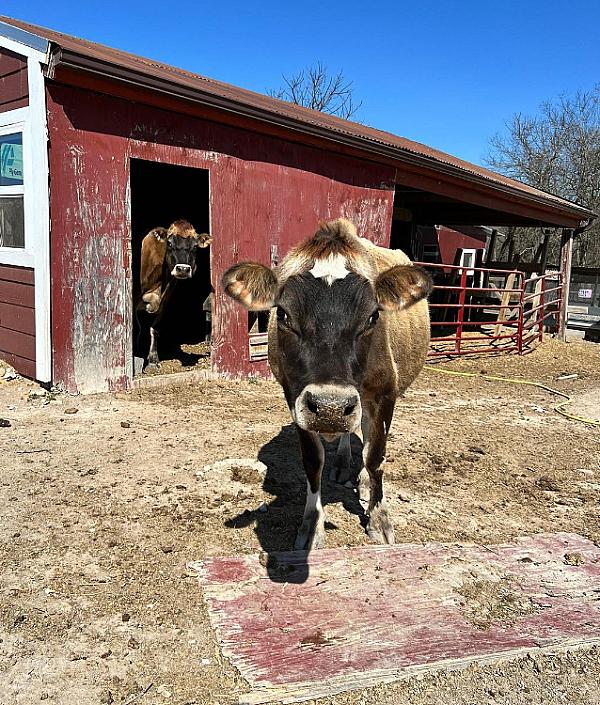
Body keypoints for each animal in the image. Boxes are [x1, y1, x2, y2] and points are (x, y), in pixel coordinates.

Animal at [138, 219, 211, 368]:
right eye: (170, 243)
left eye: (195, 246)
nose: (183, 269)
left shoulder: (166, 297)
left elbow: (155, 327)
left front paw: (153, 360)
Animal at [222, 218, 432, 551]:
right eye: (284, 314)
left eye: (373, 317)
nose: (330, 408)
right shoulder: (295, 397)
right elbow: (313, 461)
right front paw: (311, 526)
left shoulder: (386, 393)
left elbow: (375, 456)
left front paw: (379, 518)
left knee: (367, 434)